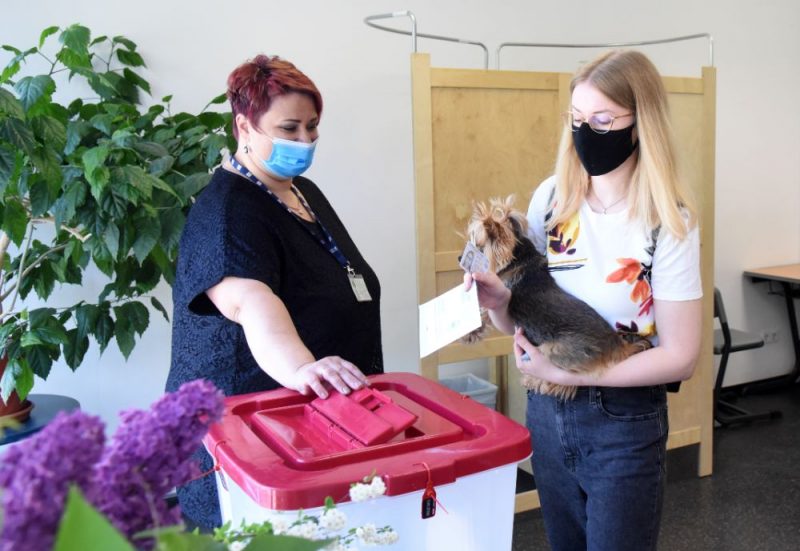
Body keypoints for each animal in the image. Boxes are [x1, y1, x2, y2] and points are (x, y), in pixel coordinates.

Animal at [463, 195, 651, 399]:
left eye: (479, 247)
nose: (459, 257)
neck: (520, 258)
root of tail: (618, 346)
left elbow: (482, 312)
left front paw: (469, 333)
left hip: (557, 351)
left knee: (567, 380)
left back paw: (536, 381)